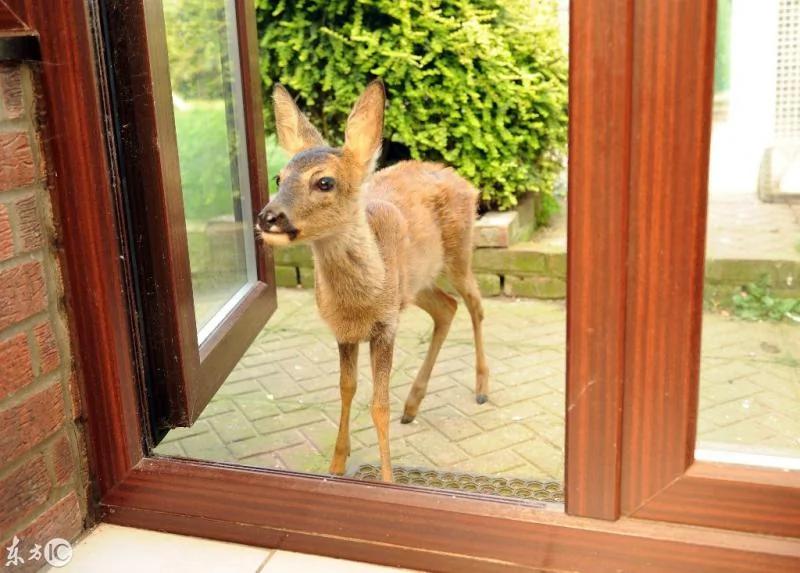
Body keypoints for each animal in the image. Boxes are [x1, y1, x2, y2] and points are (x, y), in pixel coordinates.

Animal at [256, 80, 489, 482]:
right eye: (278, 178)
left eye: (325, 181)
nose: (268, 217)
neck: (358, 303)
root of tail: (463, 181)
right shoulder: (344, 331)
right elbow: (346, 389)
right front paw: (336, 464)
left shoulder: (385, 327)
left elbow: (379, 404)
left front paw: (388, 479)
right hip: (415, 283)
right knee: (447, 307)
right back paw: (412, 405)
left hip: (460, 252)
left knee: (475, 303)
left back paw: (481, 388)